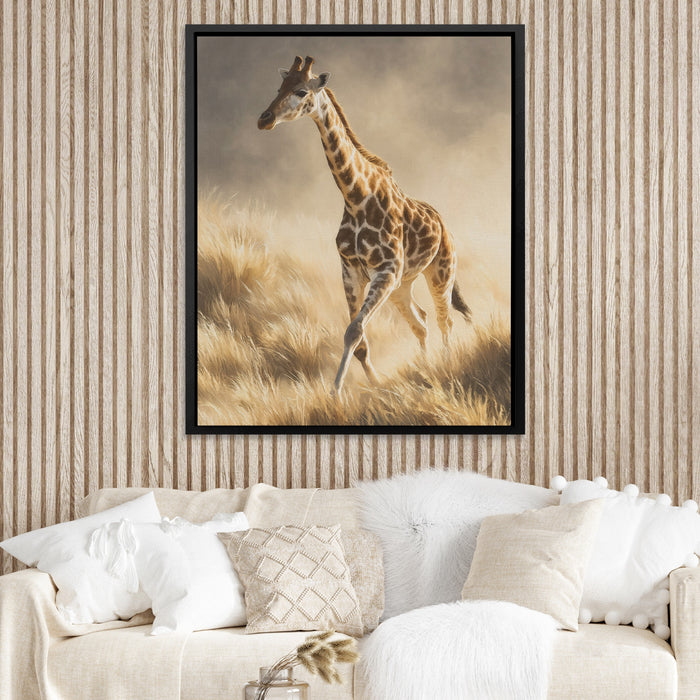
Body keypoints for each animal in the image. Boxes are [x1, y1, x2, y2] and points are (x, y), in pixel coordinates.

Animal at [258, 55, 472, 394]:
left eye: (302, 91)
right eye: (279, 87)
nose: (264, 119)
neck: (356, 197)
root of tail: (444, 224)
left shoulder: (385, 271)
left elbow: (354, 331)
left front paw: (335, 393)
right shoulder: (351, 270)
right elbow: (358, 339)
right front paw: (373, 385)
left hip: (440, 273)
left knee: (444, 320)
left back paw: (445, 365)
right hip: (403, 285)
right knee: (421, 321)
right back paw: (423, 367)